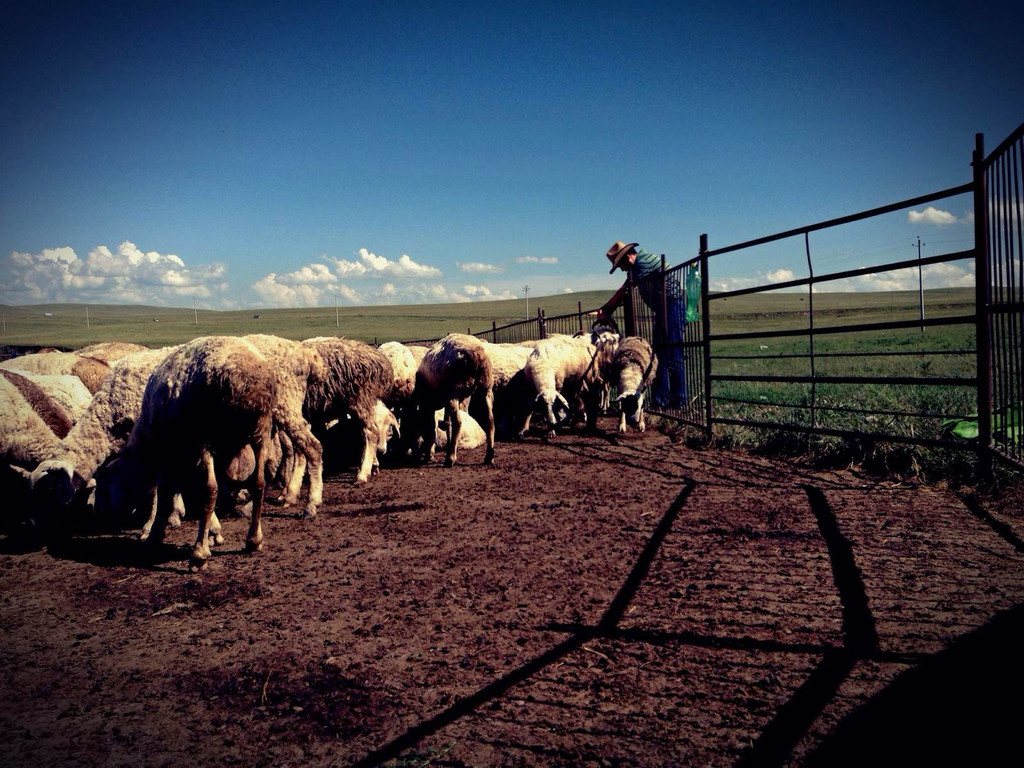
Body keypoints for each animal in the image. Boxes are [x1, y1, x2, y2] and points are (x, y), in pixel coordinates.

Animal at [97, 335, 276, 573]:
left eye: (105, 488)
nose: (103, 515)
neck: (146, 450)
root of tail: (244, 374)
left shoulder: (171, 454)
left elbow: (165, 495)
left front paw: (155, 535)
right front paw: (213, 532)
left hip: (204, 435)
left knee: (209, 490)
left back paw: (199, 554)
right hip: (260, 431)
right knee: (259, 483)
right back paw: (254, 540)